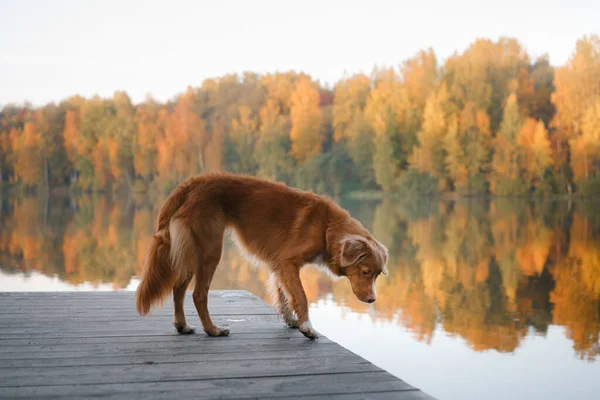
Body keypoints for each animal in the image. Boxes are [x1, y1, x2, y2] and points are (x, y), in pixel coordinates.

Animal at [135, 173, 390, 340]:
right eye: (365, 272)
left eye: (377, 275)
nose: (372, 300)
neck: (326, 227)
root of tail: (192, 183)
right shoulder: (288, 262)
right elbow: (300, 296)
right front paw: (307, 328)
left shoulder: (279, 265)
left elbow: (284, 295)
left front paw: (291, 321)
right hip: (209, 251)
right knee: (198, 294)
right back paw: (213, 330)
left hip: (190, 252)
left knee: (178, 289)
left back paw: (183, 326)